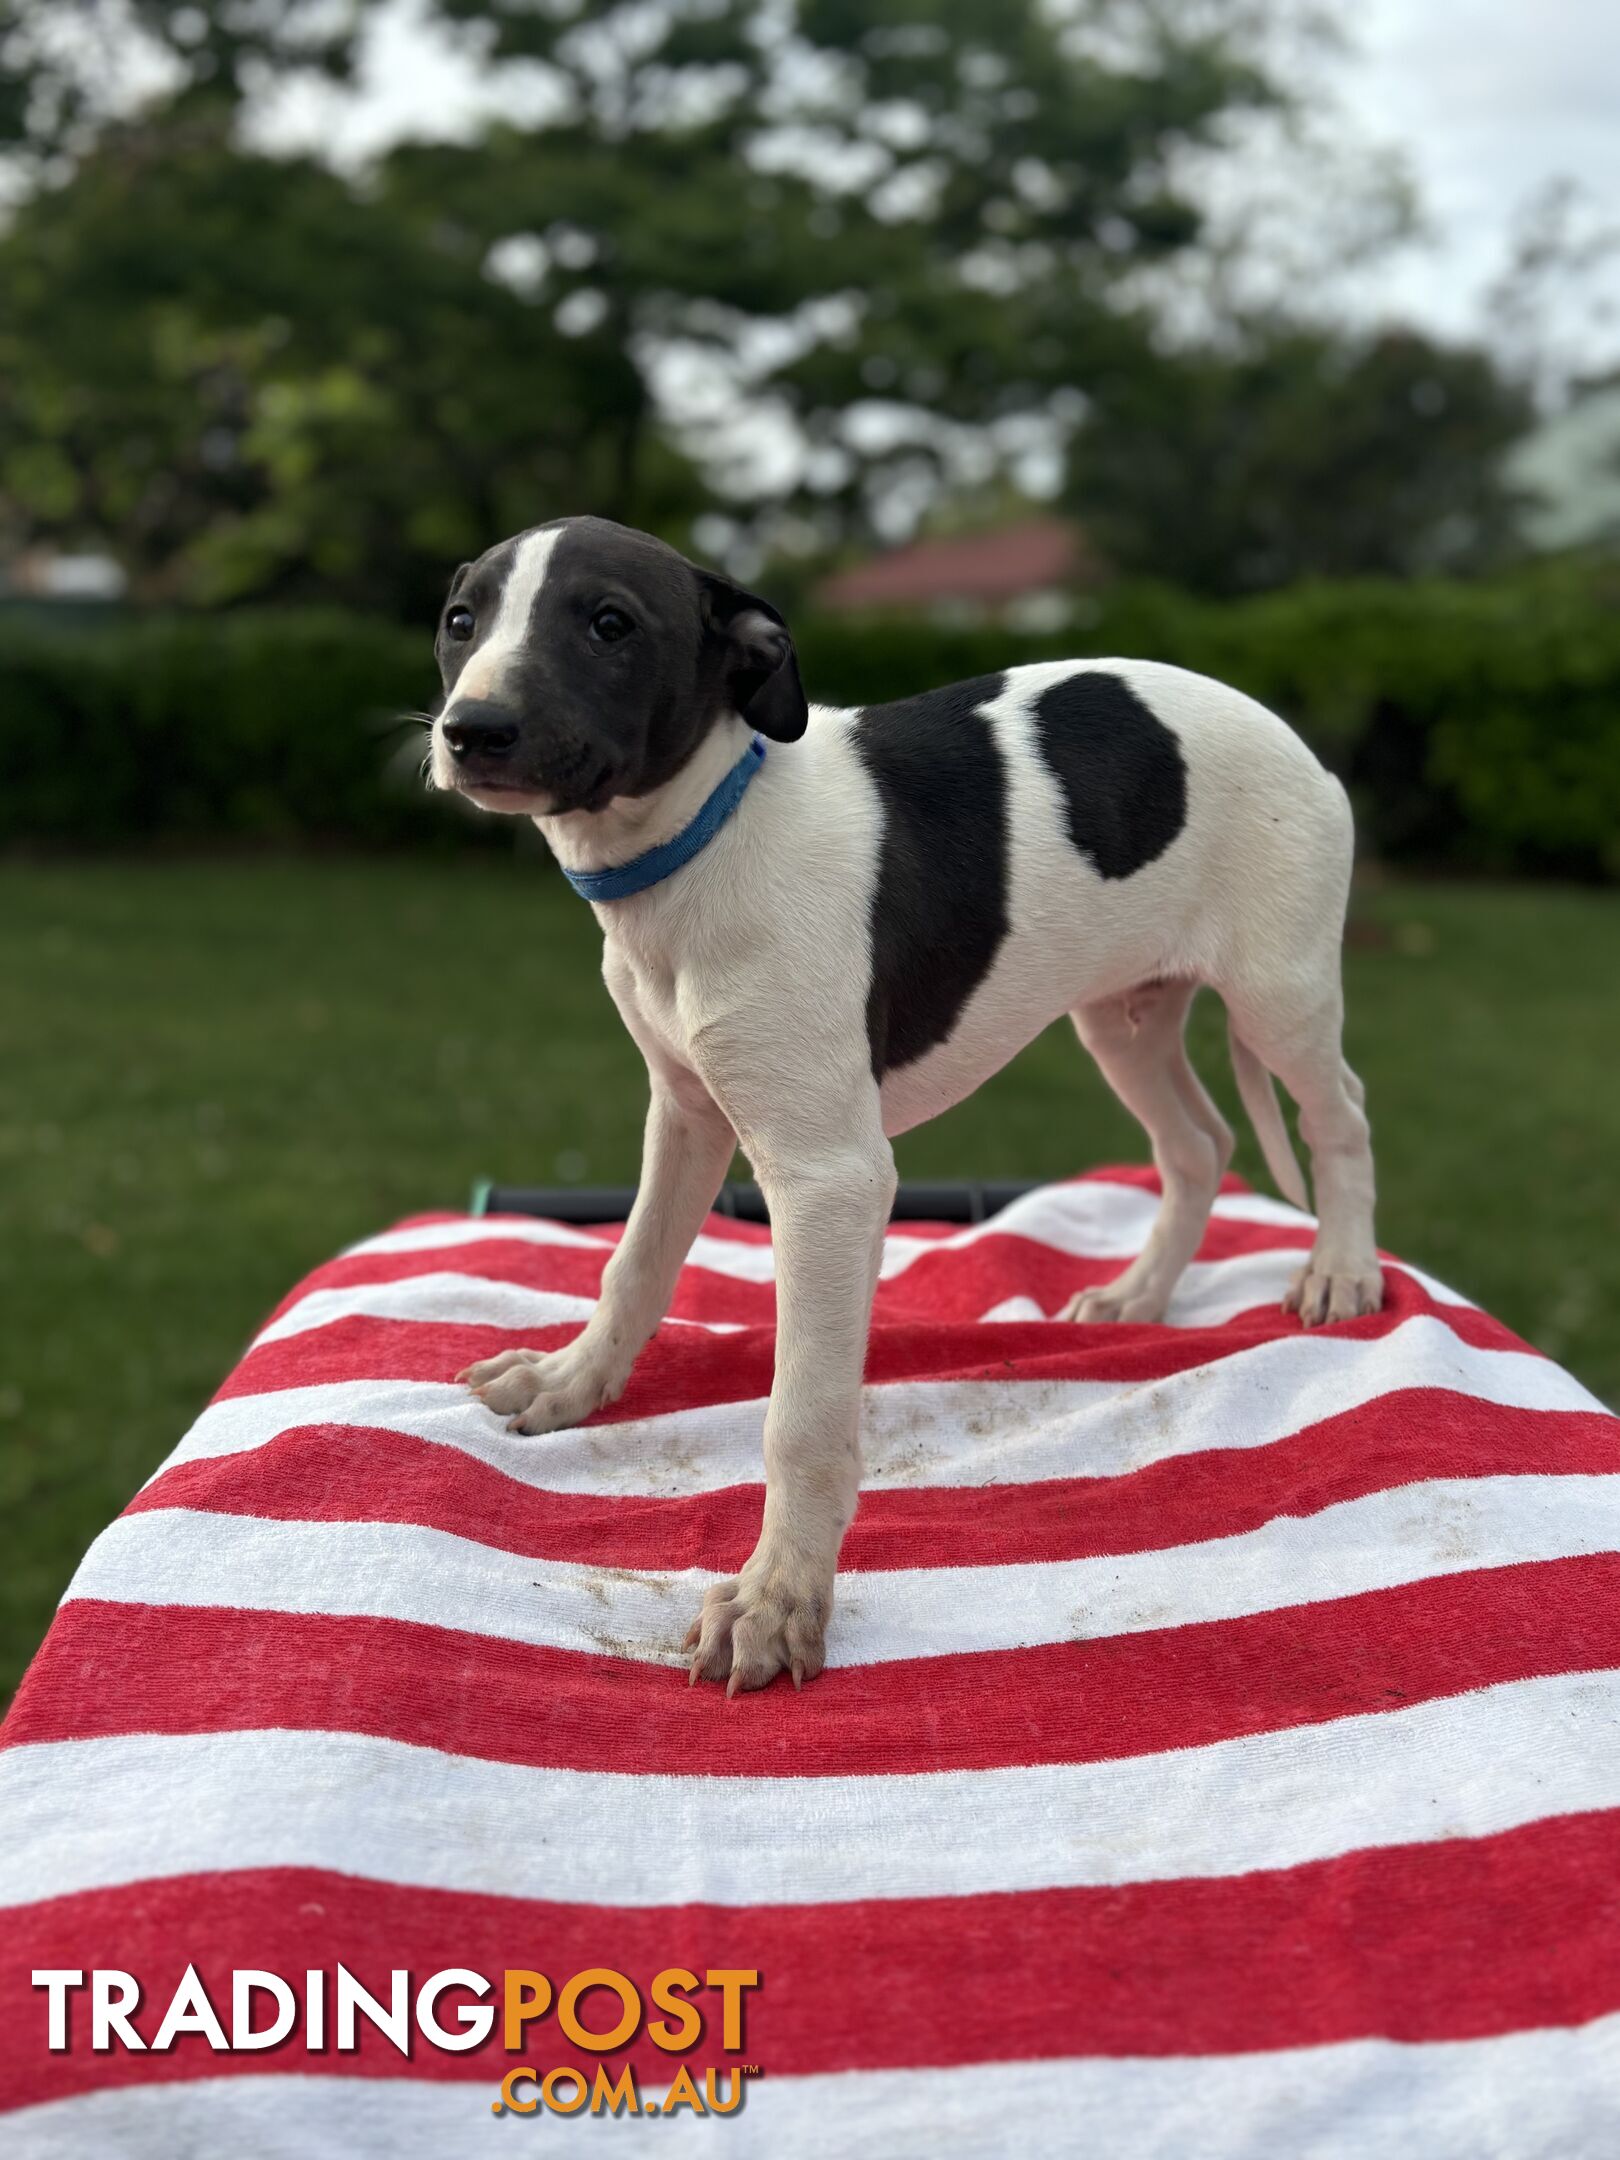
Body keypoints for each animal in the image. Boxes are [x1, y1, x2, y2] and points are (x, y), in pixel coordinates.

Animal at [427, 514, 1382, 1693]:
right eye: (460, 620)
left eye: (610, 623)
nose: (472, 731)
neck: (705, 840)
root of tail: (1292, 734)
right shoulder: (686, 1112)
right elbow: (634, 1265)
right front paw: (572, 1381)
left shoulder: (830, 1178)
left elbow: (799, 1413)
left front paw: (777, 1599)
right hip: (1124, 1012)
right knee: (1199, 1143)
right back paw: (1139, 1294)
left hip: (1278, 992)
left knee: (1340, 1116)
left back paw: (1341, 1269)